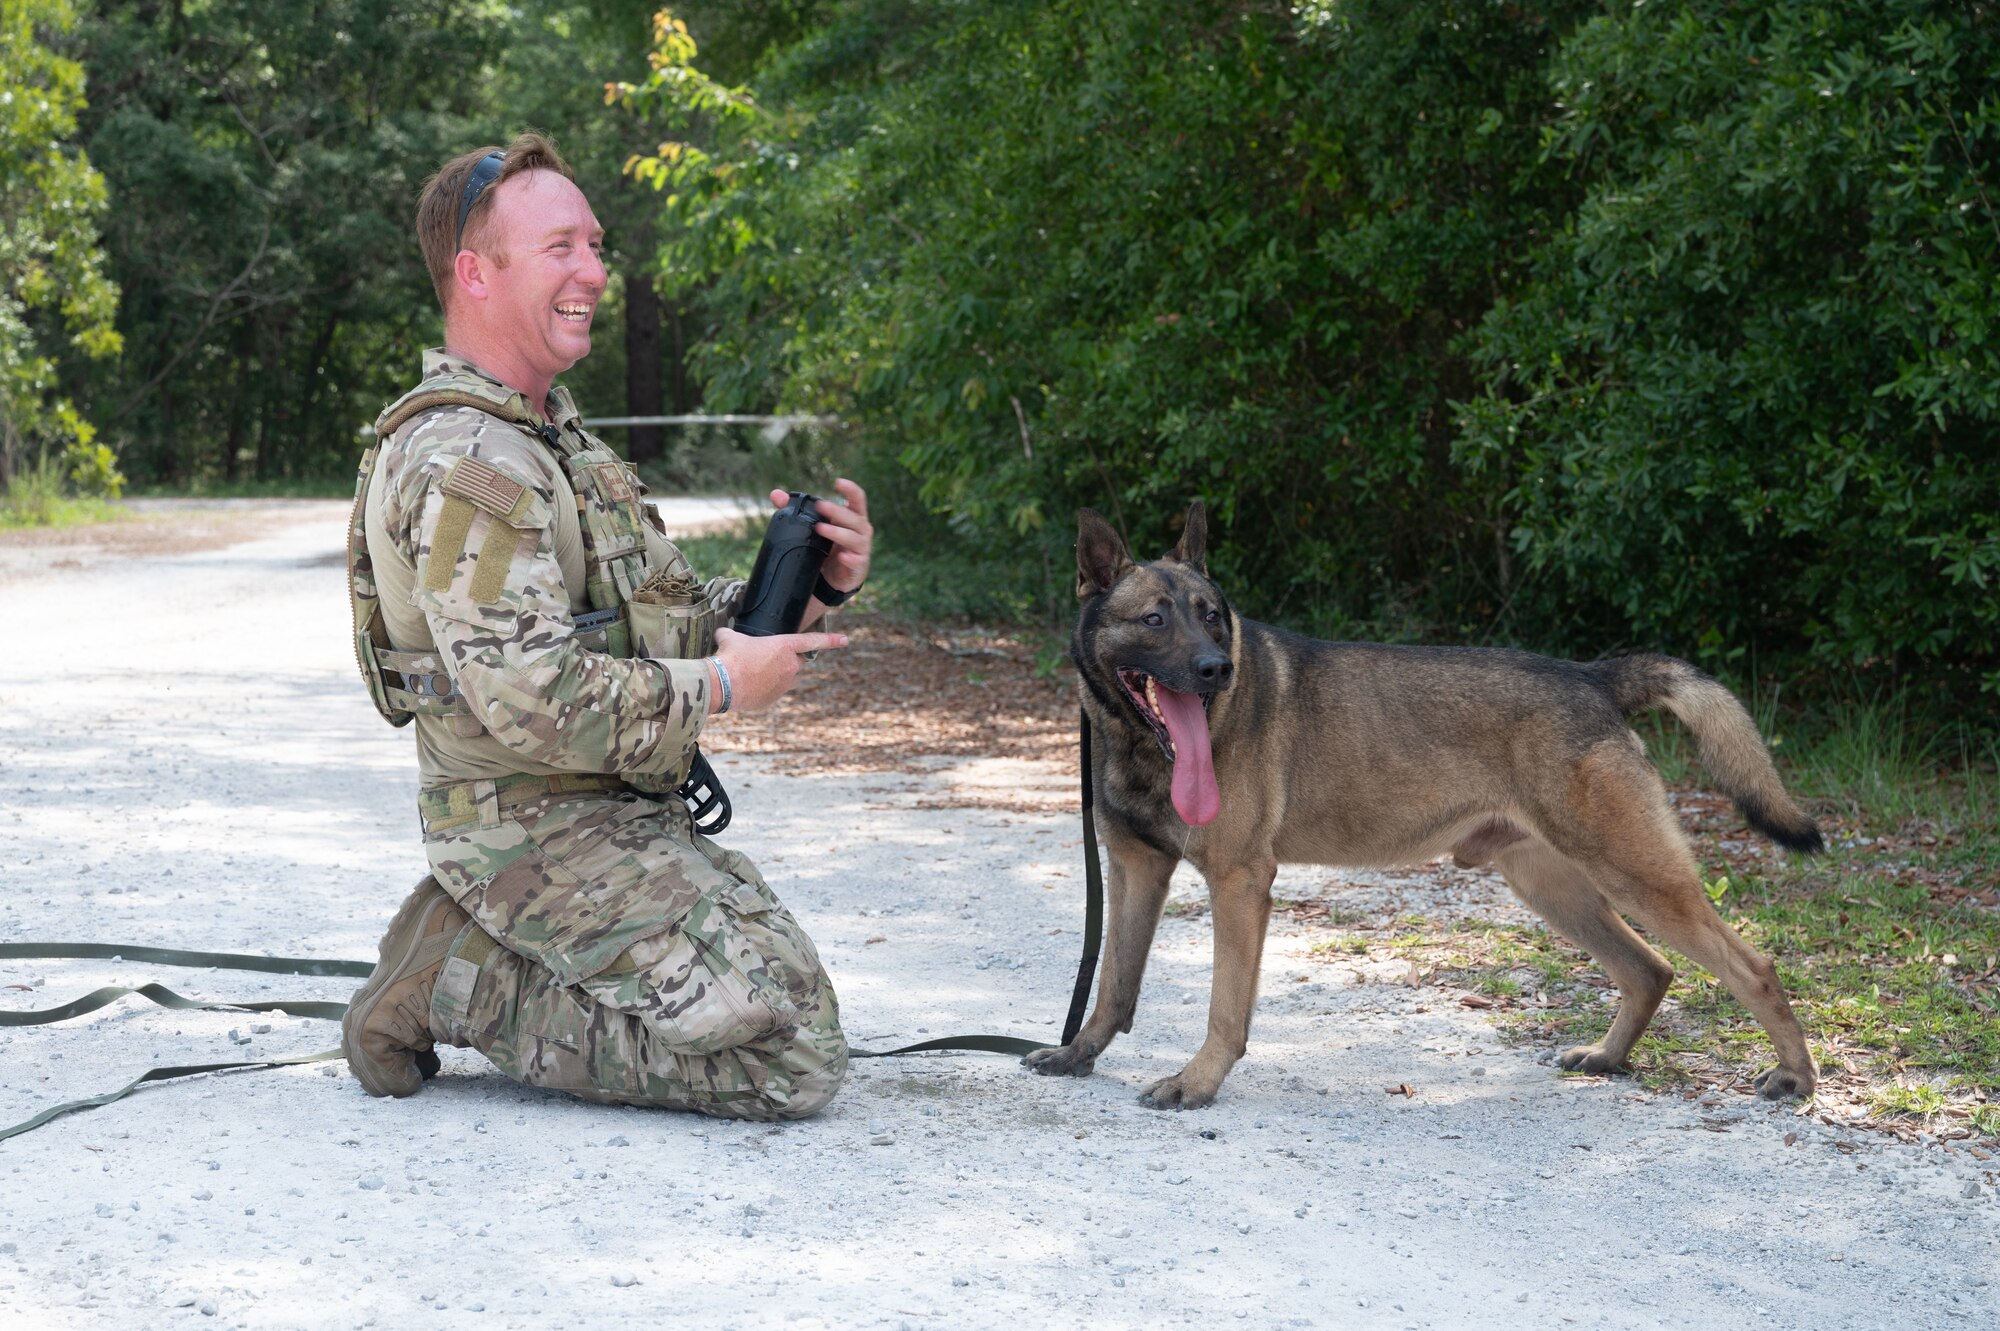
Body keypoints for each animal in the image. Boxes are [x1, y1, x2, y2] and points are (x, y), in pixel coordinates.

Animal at [1032, 503, 1832, 1103]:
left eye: (1211, 614)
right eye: (1155, 619)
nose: (1216, 669)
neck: (1142, 744)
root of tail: (1594, 676)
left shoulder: (1239, 883)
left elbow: (1224, 1009)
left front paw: (1197, 1084)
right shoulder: (1135, 870)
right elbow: (1112, 984)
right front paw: (1078, 1054)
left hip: (1634, 875)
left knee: (1751, 965)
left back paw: (1796, 1074)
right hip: (1554, 885)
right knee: (1649, 970)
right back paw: (1609, 1058)